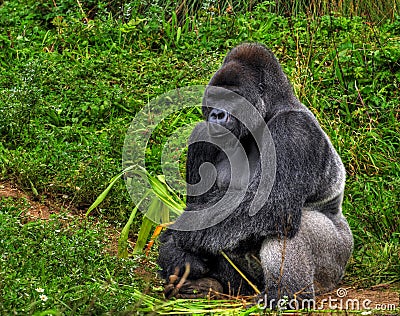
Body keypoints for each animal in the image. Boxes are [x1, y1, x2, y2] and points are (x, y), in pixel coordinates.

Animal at [157, 42, 354, 306]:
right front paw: (175, 253)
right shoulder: (203, 135)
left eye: (230, 98)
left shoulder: (295, 130)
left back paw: (285, 295)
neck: (264, 117)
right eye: (213, 99)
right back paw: (207, 286)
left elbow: (270, 207)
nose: (216, 115)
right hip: (247, 283)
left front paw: (181, 235)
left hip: (335, 264)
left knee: (288, 222)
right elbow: (201, 206)